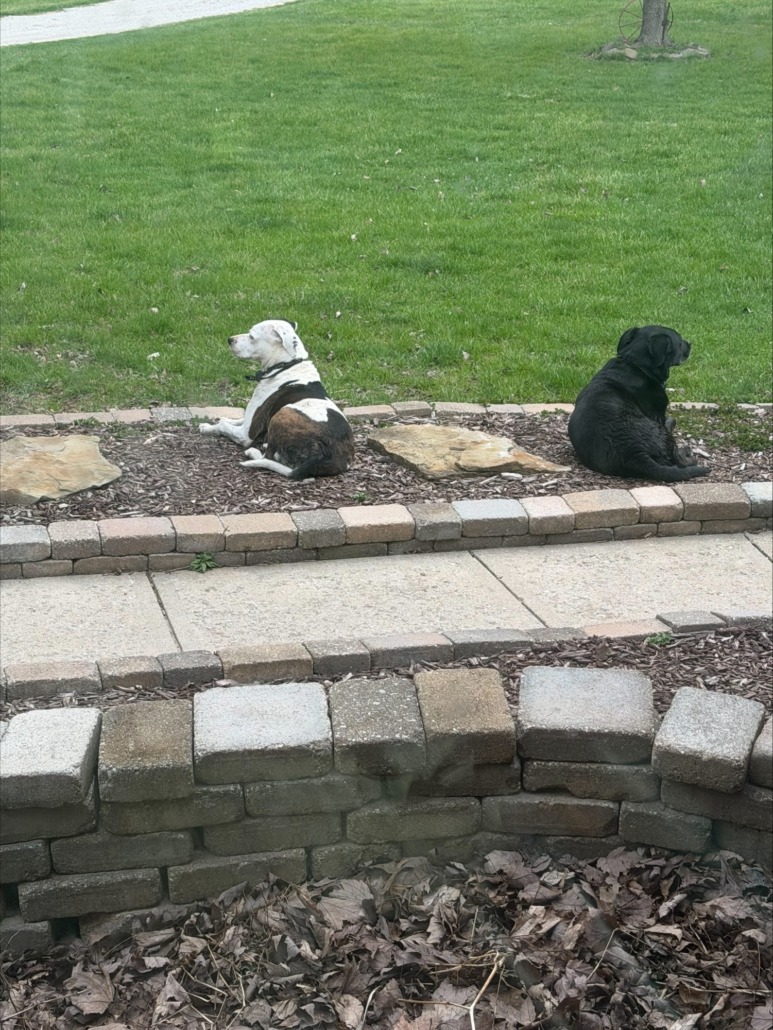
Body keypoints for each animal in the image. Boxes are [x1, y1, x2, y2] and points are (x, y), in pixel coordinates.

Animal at [199, 319, 354, 479]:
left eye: (252, 336)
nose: (230, 340)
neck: (285, 366)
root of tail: (327, 454)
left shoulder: (246, 432)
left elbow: (225, 427)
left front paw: (208, 428)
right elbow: (235, 419)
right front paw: (222, 419)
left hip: (282, 414)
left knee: (267, 457)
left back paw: (255, 451)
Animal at [567, 325, 709, 482]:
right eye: (679, 343)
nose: (689, 343)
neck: (636, 364)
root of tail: (634, 454)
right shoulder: (658, 414)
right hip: (661, 433)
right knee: (677, 459)